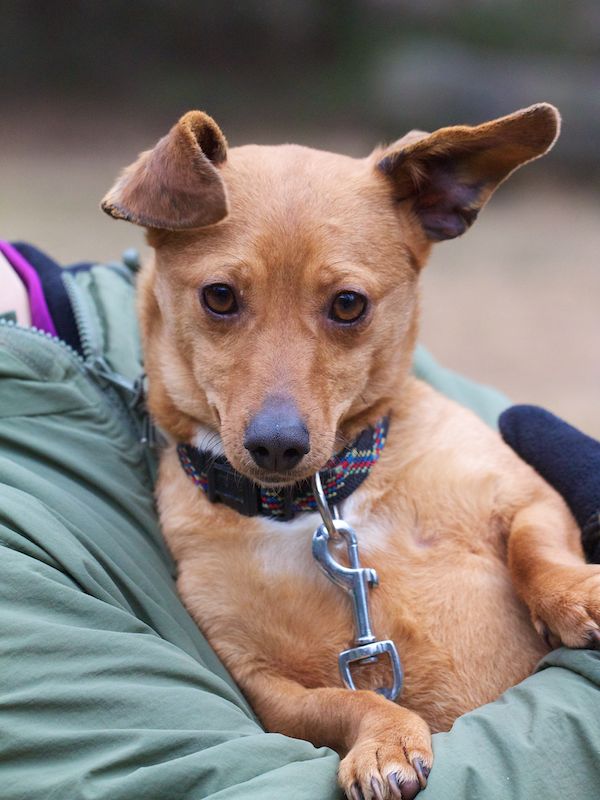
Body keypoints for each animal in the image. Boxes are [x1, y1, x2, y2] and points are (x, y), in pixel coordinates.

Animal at [102, 103, 600, 800]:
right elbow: (349, 702)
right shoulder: (266, 685)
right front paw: (384, 740)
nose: (277, 444)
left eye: (348, 304)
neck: (327, 502)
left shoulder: (529, 496)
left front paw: (577, 594)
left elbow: (537, 551)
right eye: (219, 296)